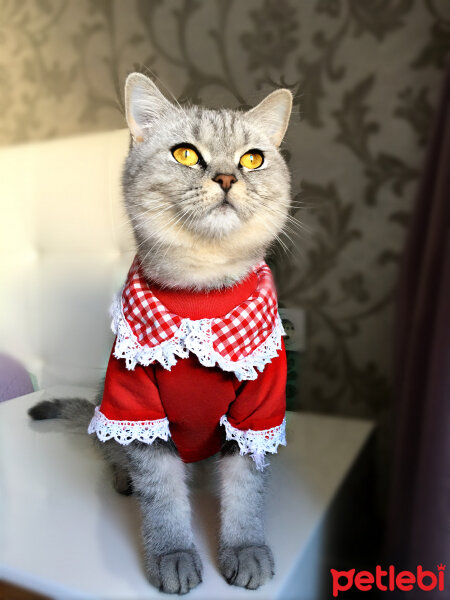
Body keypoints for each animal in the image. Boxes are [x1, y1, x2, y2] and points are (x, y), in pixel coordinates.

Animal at [29, 72, 294, 592]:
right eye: (186, 154)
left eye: (253, 158)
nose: (227, 177)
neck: (200, 297)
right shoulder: (138, 408)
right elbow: (164, 499)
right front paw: (173, 556)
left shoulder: (257, 416)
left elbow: (245, 493)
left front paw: (245, 550)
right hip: (108, 408)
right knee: (111, 450)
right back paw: (122, 478)